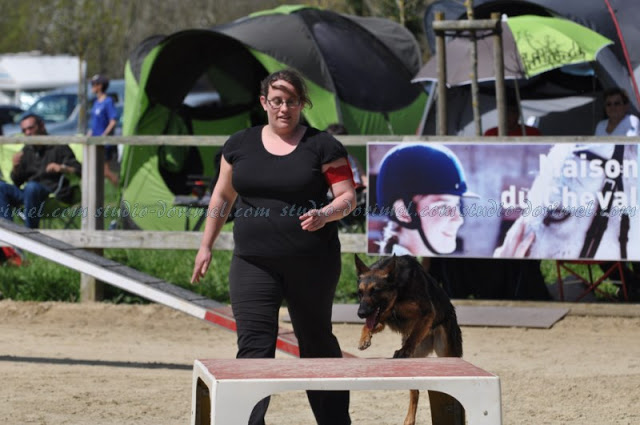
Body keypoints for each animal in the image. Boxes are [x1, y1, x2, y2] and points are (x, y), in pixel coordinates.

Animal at [356, 253, 460, 422]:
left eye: (375, 291)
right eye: (360, 293)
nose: (361, 313)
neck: (398, 291)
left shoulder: (427, 312)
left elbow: (414, 334)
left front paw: (404, 350)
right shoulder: (381, 320)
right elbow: (367, 326)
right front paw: (364, 339)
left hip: (447, 350)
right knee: (415, 392)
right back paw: (409, 419)